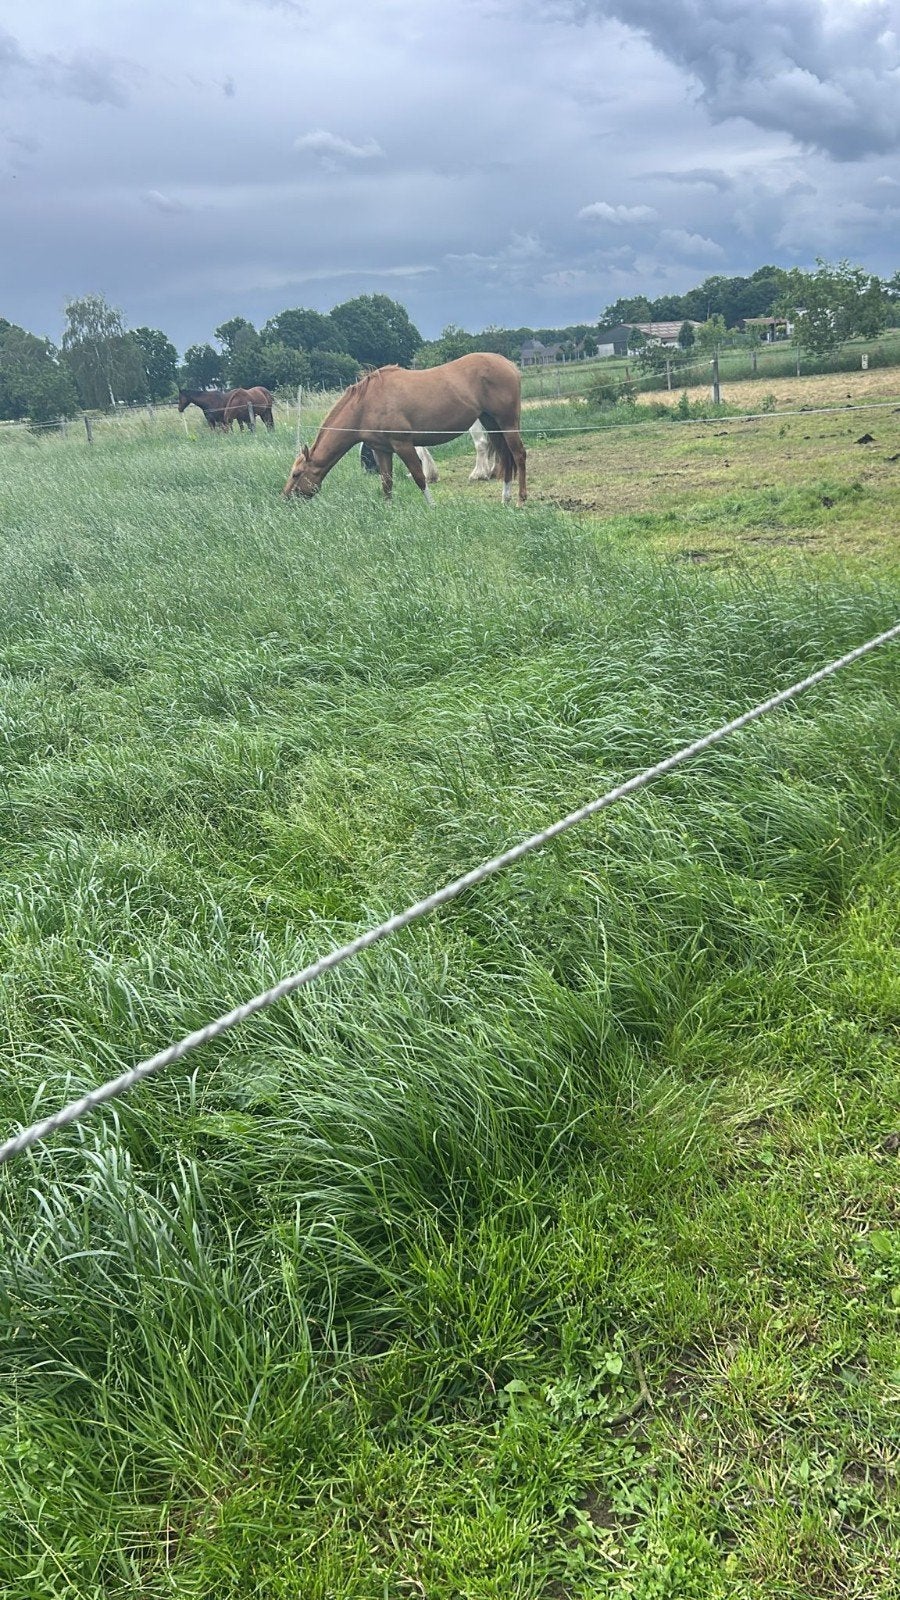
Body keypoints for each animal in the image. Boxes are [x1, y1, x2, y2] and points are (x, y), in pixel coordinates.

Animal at [284, 353, 526, 505]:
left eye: (296, 474)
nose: (285, 498)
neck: (366, 405)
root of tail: (508, 363)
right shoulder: (381, 450)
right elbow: (386, 482)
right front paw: (388, 509)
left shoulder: (403, 445)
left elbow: (419, 476)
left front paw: (432, 507)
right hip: (492, 423)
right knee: (505, 457)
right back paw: (505, 497)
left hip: (507, 423)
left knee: (518, 455)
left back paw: (521, 500)